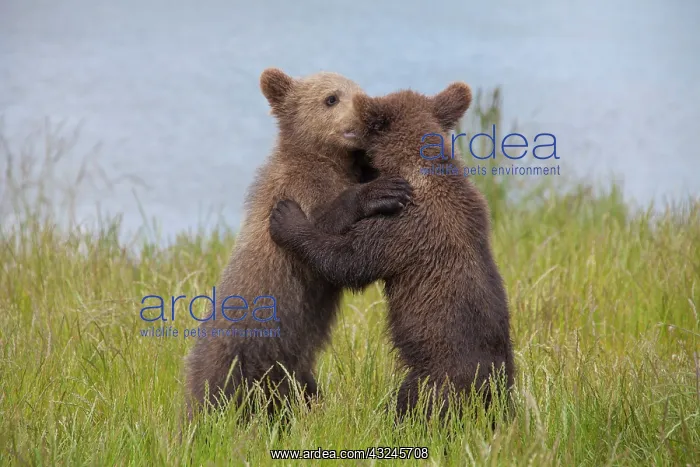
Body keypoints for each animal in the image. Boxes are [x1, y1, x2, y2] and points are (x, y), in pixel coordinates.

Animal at [183, 68, 413, 420]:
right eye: (331, 98)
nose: (363, 116)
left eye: (360, 91)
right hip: (243, 348)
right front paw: (381, 192)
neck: (326, 159)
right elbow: (320, 228)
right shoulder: (296, 189)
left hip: (293, 368)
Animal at [268, 82, 514, 422]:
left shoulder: (400, 227)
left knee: (410, 405)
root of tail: (488, 393)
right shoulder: (476, 208)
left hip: (435, 377)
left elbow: (347, 260)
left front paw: (286, 218)